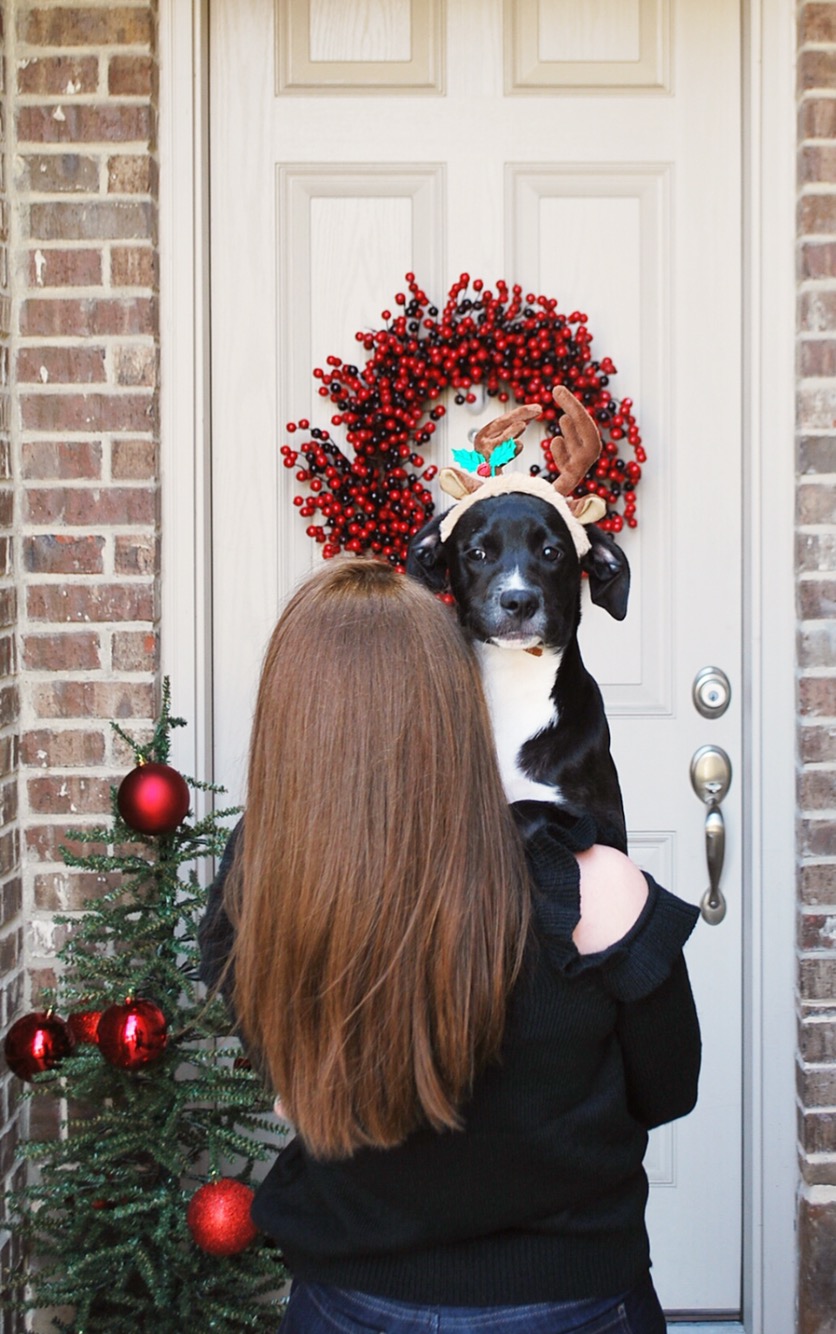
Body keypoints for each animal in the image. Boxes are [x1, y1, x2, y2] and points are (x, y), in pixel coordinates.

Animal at [408, 397, 632, 853]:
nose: (519, 601)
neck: (515, 678)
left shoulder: (608, 829)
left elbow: (527, 809)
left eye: (552, 552)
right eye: (476, 553)